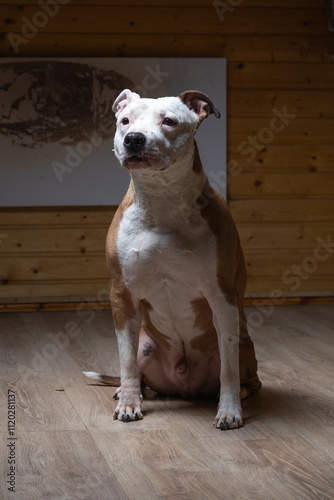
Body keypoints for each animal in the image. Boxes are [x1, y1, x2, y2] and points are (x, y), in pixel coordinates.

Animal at [84, 90, 260, 430]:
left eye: (169, 121)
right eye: (125, 121)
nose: (134, 139)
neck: (161, 200)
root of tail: (184, 386)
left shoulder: (222, 296)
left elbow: (228, 368)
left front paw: (229, 410)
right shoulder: (122, 294)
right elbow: (126, 361)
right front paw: (128, 403)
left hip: (245, 344)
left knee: (247, 378)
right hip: (146, 348)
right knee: (140, 372)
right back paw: (132, 390)